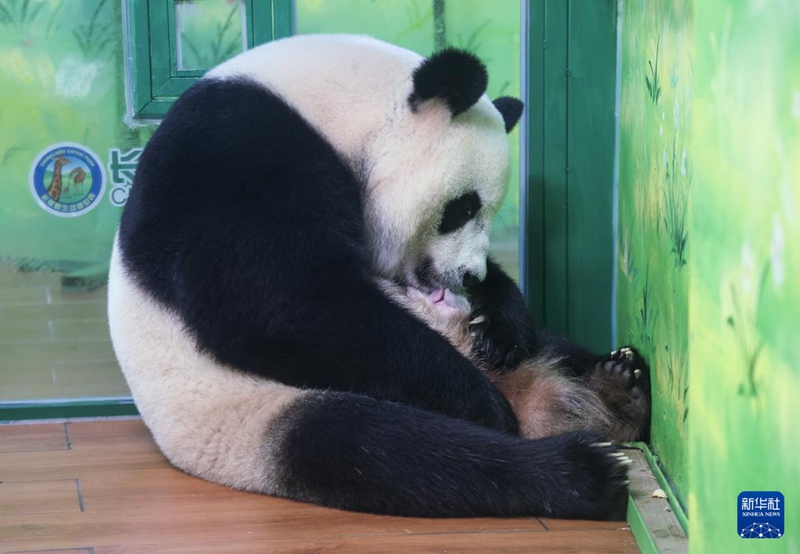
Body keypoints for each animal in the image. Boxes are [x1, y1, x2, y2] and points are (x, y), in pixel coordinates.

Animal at [108, 34, 649, 520]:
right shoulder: (235, 153)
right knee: (387, 451)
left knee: (552, 347)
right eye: (463, 207)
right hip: (248, 412)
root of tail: (536, 404)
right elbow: (274, 300)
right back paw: (577, 469)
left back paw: (619, 388)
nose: (468, 276)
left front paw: (501, 321)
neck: (331, 105)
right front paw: (481, 403)